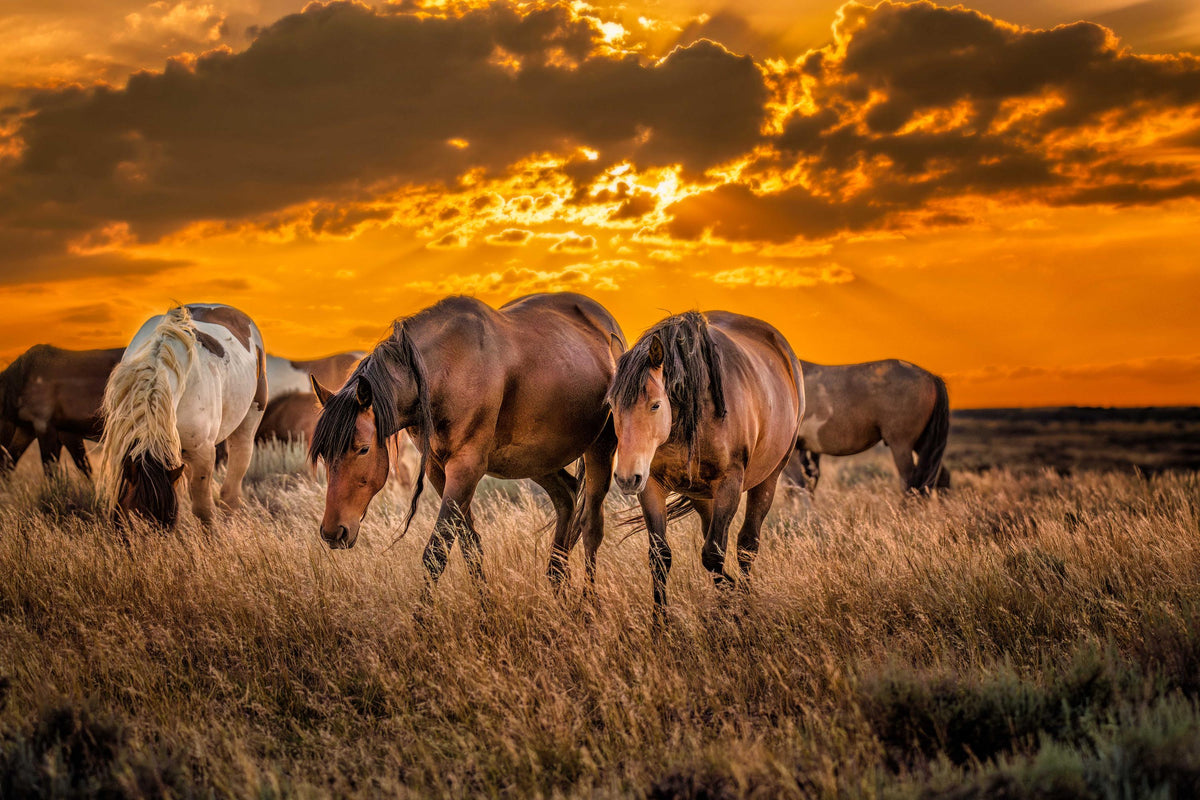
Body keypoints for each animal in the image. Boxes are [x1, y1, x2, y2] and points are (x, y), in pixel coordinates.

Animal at [308, 293, 625, 591]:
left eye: (363, 449)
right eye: (324, 455)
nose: (332, 532)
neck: (445, 371)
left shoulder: (465, 468)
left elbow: (436, 553)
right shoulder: (438, 469)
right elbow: (469, 546)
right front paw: (486, 609)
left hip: (599, 450)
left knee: (591, 528)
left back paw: (588, 604)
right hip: (536, 459)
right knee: (567, 497)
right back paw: (560, 590)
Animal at [609, 311, 804, 613]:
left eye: (655, 405)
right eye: (611, 405)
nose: (627, 478)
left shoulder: (729, 485)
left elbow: (713, 554)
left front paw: (736, 602)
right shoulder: (651, 485)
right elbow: (660, 557)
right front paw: (660, 622)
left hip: (769, 478)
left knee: (746, 545)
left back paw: (743, 600)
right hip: (701, 494)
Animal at [783, 360, 950, 495]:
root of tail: (930, 377)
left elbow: (797, 486)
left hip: (901, 446)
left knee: (910, 482)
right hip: (922, 444)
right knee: (939, 478)